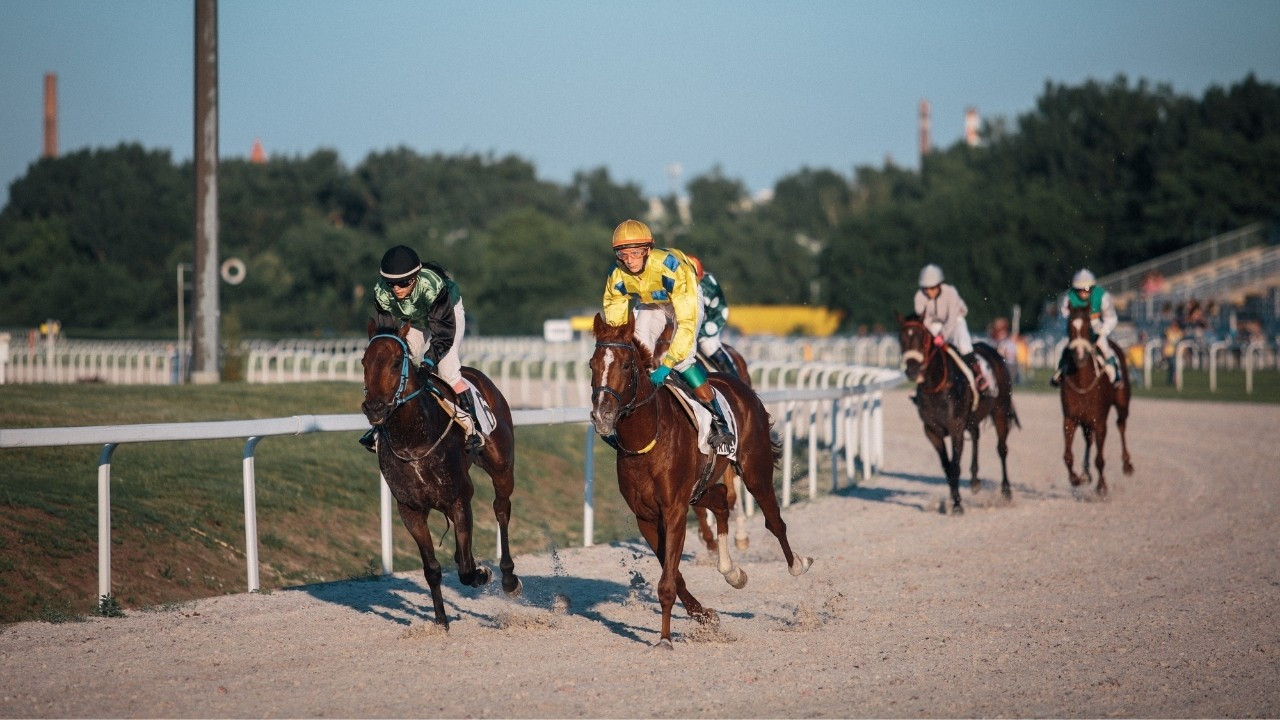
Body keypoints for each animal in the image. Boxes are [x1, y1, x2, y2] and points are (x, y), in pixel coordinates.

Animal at [360, 311, 519, 625]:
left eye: (395, 363)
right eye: (364, 362)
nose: (374, 408)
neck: (414, 439)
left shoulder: (459, 499)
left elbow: (468, 571)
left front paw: (483, 573)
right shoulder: (410, 509)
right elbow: (432, 569)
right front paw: (441, 621)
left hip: (502, 465)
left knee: (501, 508)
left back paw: (508, 577)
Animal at [588, 311, 808, 648]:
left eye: (625, 365)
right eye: (592, 364)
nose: (602, 415)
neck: (647, 437)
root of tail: (739, 385)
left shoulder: (674, 510)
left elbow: (668, 579)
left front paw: (665, 639)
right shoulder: (646, 516)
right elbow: (673, 574)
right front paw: (703, 615)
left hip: (755, 469)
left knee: (773, 519)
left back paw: (796, 563)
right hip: (701, 487)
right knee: (720, 502)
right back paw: (732, 572)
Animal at [896, 311, 1024, 512]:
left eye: (923, 339)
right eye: (901, 339)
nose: (912, 370)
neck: (937, 385)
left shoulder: (956, 428)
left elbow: (955, 466)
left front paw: (957, 505)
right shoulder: (931, 431)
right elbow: (947, 466)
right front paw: (953, 498)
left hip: (1000, 411)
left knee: (1002, 449)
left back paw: (1006, 491)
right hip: (972, 418)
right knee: (976, 435)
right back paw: (975, 481)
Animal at [1054, 301, 1136, 491]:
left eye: (1087, 327)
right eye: (1069, 326)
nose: (1080, 355)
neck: (1083, 382)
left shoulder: (1099, 421)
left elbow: (1100, 459)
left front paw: (1102, 487)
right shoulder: (1070, 418)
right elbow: (1067, 456)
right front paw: (1075, 478)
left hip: (1122, 403)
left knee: (1121, 425)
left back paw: (1127, 464)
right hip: (1085, 420)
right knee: (1088, 439)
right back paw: (1085, 473)